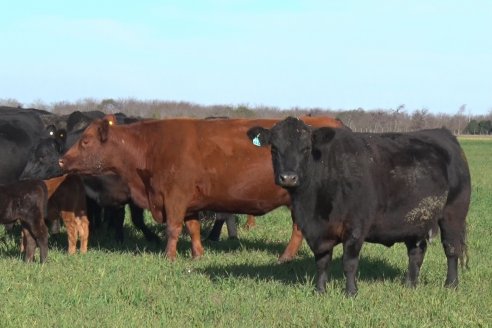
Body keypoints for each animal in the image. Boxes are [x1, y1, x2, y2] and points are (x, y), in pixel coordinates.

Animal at [59, 116, 344, 260]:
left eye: (85, 141)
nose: (61, 160)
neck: (151, 146)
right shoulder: (189, 202)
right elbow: (193, 228)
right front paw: (197, 254)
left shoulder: (174, 197)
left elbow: (173, 229)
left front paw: (169, 257)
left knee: (298, 229)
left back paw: (285, 257)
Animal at [250, 117, 468, 294]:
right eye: (274, 149)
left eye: (306, 149)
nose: (288, 177)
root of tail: (443, 133)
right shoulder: (317, 232)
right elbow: (322, 262)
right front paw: (320, 290)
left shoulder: (355, 227)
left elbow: (349, 263)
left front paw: (351, 292)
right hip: (415, 221)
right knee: (416, 252)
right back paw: (410, 285)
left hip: (453, 214)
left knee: (451, 249)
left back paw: (451, 284)